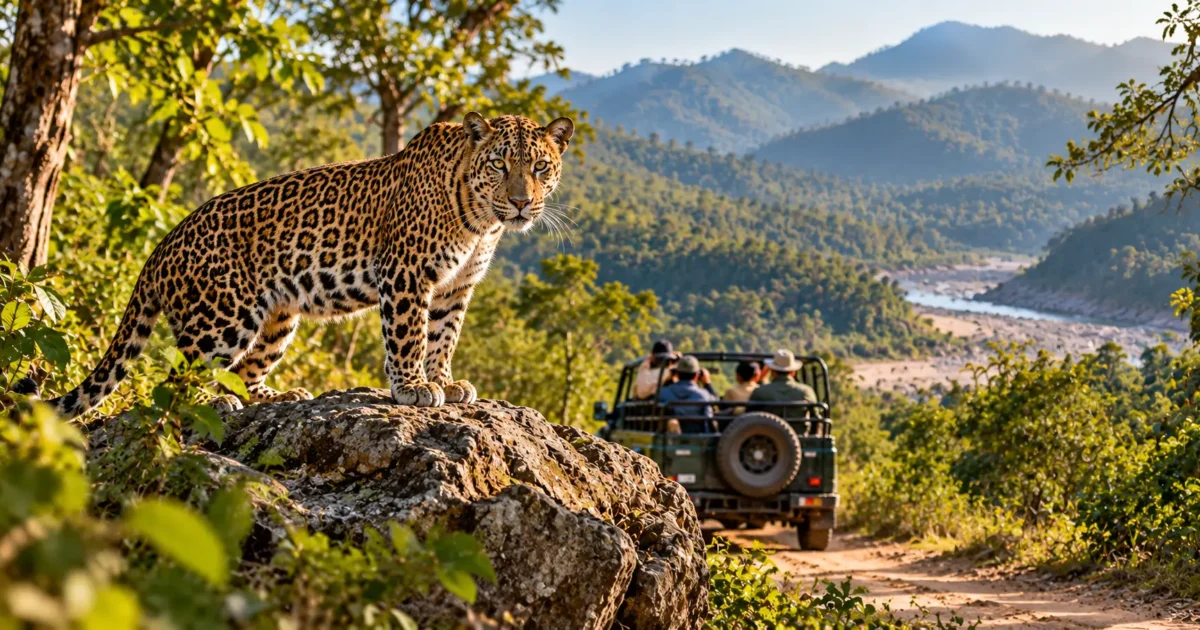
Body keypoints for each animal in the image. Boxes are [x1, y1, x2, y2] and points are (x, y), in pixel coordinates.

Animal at [29, 112, 574, 418]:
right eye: (499, 165)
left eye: (540, 167)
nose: (522, 203)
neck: (481, 222)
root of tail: (162, 244)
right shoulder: (407, 275)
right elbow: (410, 337)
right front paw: (414, 389)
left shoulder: (455, 288)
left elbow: (444, 337)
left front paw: (444, 382)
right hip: (224, 317)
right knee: (173, 383)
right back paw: (213, 403)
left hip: (277, 318)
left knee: (246, 371)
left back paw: (276, 396)